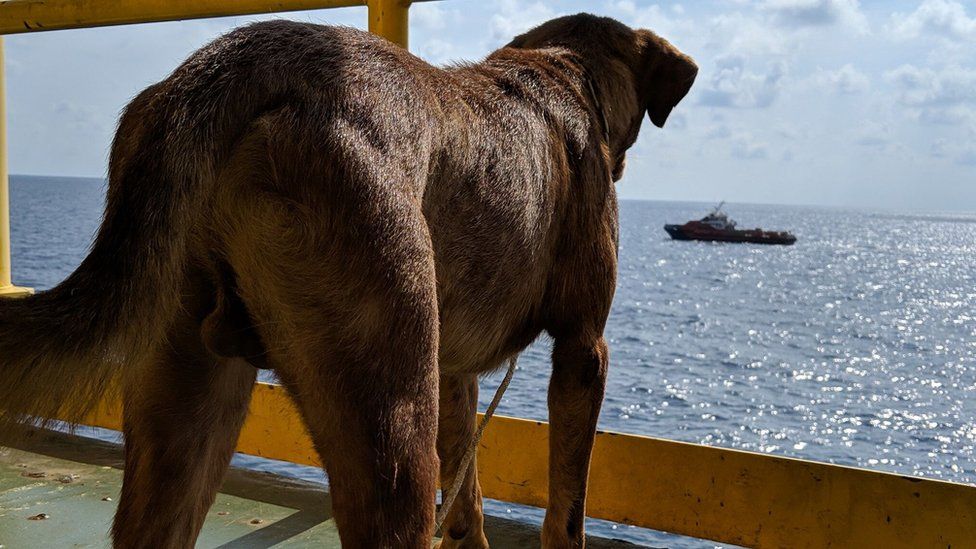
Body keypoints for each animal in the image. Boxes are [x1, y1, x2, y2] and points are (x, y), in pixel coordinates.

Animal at [0, 12, 692, 548]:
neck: (562, 73)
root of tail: (239, 63)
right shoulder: (583, 351)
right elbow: (567, 510)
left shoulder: (455, 371)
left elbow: (467, 500)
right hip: (391, 415)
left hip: (182, 413)